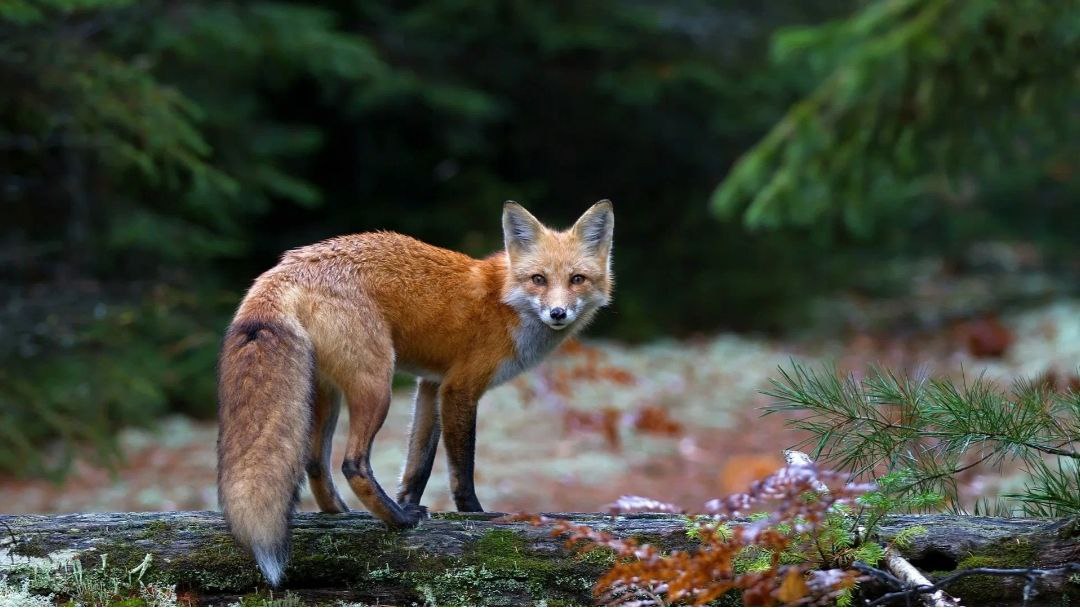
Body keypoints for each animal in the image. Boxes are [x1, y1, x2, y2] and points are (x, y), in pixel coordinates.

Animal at [217, 199, 617, 582]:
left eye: (577, 279)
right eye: (538, 279)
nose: (558, 313)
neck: (505, 302)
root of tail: (285, 266)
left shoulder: (431, 385)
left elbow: (418, 465)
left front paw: (408, 501)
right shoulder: (459, 388)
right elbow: (461, 470)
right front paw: (474, 515)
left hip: (326, 393)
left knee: (315, 463)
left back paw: (347, 514)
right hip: (376, 385)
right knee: (352, 463)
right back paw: (398, 521)